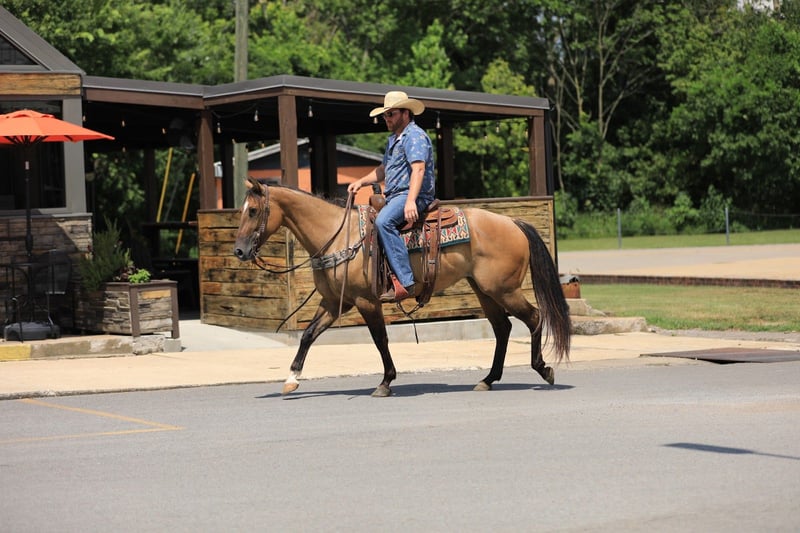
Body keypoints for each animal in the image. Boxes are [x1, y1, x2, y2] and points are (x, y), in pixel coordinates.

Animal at [233, 177, 570, 397]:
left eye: (253, 211)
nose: (239, 250)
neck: (336, 235)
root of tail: (514, 223)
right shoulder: (333, 302)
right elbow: (308, 335)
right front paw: (291, 378)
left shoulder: (365, 301)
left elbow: (380, 339)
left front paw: (385, 382)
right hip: (484, 289)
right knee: (502, 328)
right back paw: (488, 379)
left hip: (504, 290)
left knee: (534, 318)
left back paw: (543, 369)